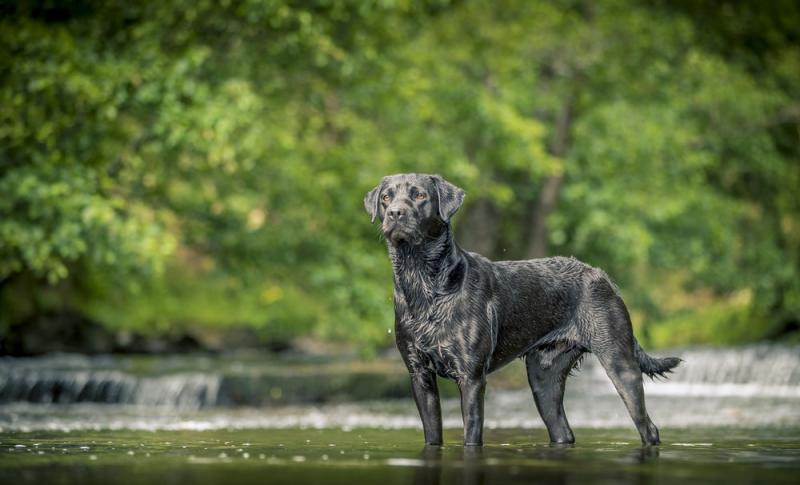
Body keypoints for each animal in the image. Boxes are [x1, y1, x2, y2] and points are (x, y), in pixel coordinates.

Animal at [364, 173, 680, 446]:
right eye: (386, 197)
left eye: (419, 195)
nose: (395, 213)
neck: (422, 283)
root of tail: (604, 277)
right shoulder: (419, 376)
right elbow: (432, 435)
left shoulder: (471, 377)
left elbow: (471, 435)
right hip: (543, 379)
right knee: (564, 432)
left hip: (620, 363)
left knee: (648, 427)